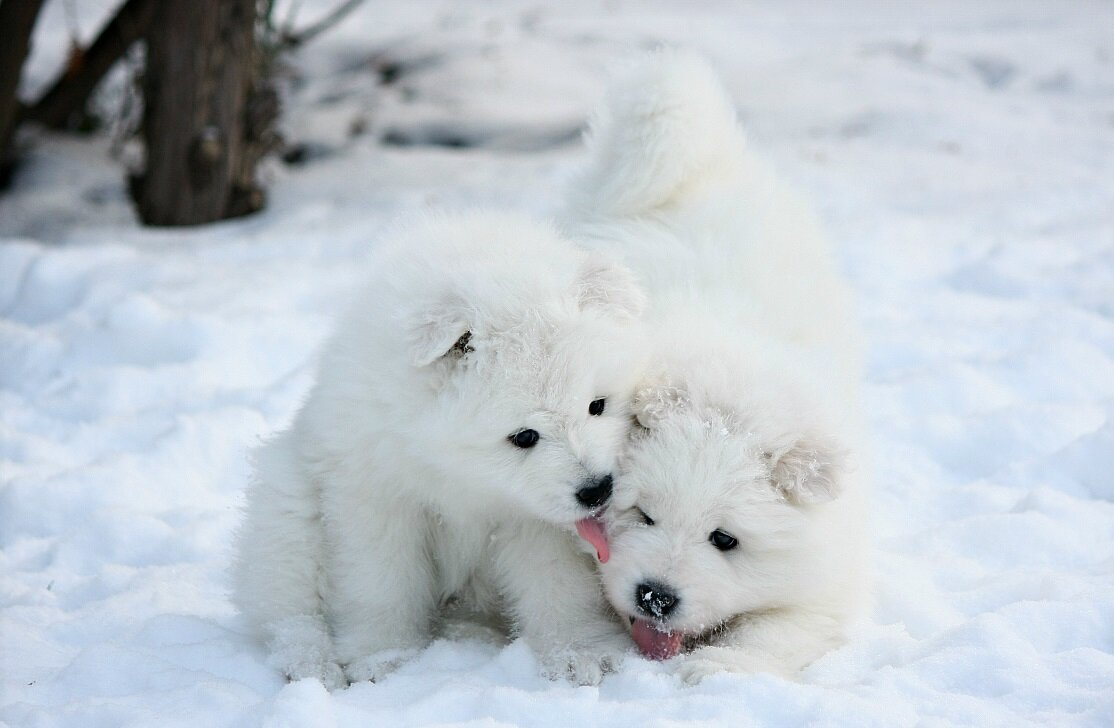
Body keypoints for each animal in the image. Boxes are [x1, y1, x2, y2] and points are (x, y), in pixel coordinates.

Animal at [235, 212, 650, 690]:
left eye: (597, 405)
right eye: (524, 436)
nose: (597, 490)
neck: (459, 471)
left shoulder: (536, 521)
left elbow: (558, 583)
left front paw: (578, 653)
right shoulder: (375, 495)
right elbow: (380, 582)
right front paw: (384, 658)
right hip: (286, 506)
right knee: (286, 606)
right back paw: (312, 664)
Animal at [565, 51, 868, 685]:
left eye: (725, 539)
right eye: (643, 515)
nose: (656, 596)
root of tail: (705, 161)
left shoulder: (825, 578)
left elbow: (777, 629)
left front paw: (716, 667)